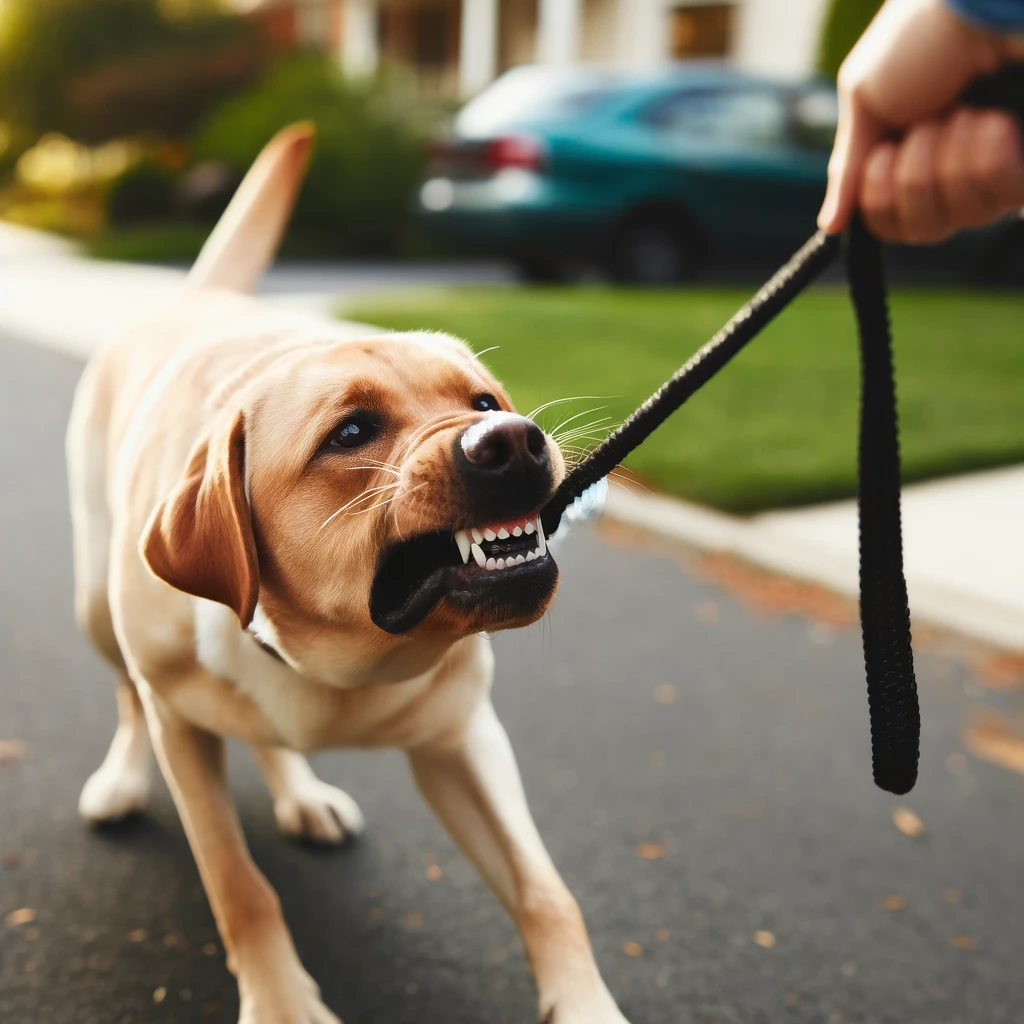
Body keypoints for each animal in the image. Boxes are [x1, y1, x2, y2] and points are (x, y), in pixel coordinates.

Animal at [66, 125, 630, 1024]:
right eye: (351, 433)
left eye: (482, 402)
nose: (514, 440)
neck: (338, 662)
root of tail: (199, 295)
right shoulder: (181, 731)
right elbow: (239, 885)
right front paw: (281, 1003)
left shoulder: (464, 739)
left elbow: (548, 891)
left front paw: (584, 1006)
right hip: (96, 606)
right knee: (128, 695)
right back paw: (122, 778)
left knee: (271, 739)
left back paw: (301, 792)